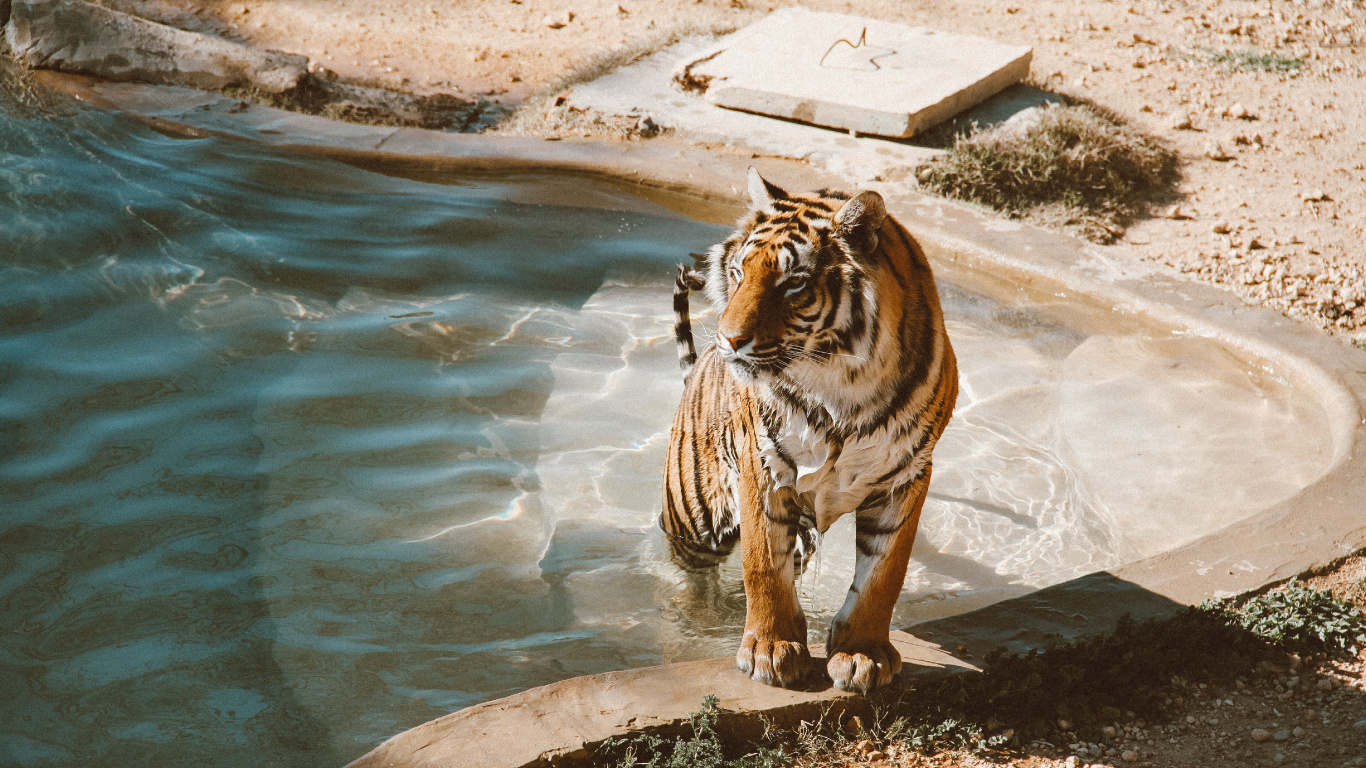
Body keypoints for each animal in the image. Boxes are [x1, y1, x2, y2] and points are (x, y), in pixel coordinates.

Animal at [660, 168, 958, 694]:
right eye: (738, 273)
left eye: (793, 284)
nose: (728, 340)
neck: (842, 386)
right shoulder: (762, 465)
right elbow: (763, 565)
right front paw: (769, 650)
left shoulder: (906, 476)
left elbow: (884, 574)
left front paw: (861, 653)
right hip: (693, 519)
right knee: (687, 574)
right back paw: (693, 619)